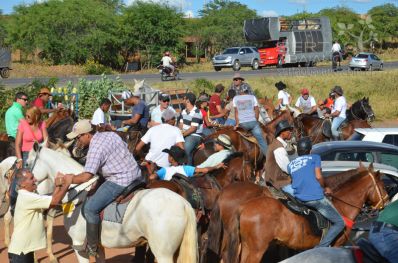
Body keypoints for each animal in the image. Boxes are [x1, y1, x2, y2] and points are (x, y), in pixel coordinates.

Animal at [24, 145, 197, 262]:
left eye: (26, 164)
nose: (28, 186)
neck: (79, 193)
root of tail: (183, 203)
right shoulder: (99, 247)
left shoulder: (79, 246)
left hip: (163, 254)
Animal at [229, 164, 388, 262]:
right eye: (383, 186)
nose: (386, 202)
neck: (341, 206)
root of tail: (243, 208)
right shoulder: (336, 246)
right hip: (256, 250)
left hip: (246, 247)